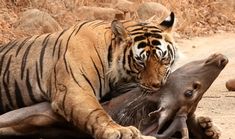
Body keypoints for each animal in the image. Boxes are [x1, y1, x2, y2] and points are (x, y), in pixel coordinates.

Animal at [0, 12, 176, 139]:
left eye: (163, 58)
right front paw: (120, 131)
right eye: (140, 62)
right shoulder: (73, 90)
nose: (158, 85)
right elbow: (96, 112)